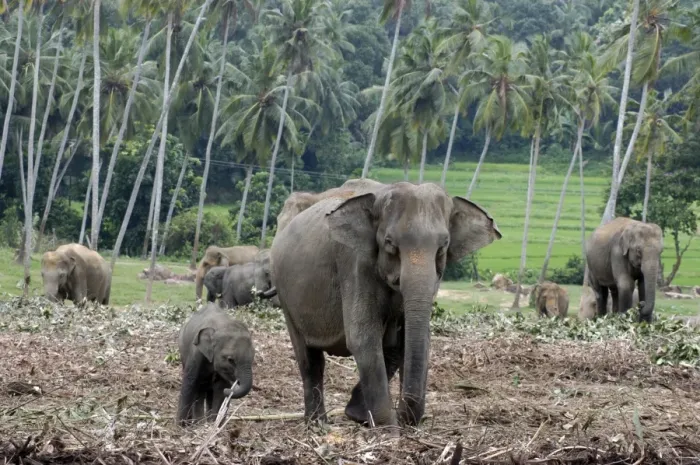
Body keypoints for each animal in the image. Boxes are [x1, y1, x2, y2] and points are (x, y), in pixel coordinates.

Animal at [269, 180, 501, 429]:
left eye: (444, 246)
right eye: (390, 244)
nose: (405, 419)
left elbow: (406, 340)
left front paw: (361, 416)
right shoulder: (354, 262)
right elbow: (363, 337)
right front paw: (387, 429)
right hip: (285, 294)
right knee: (309, 358)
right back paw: (317, 424)